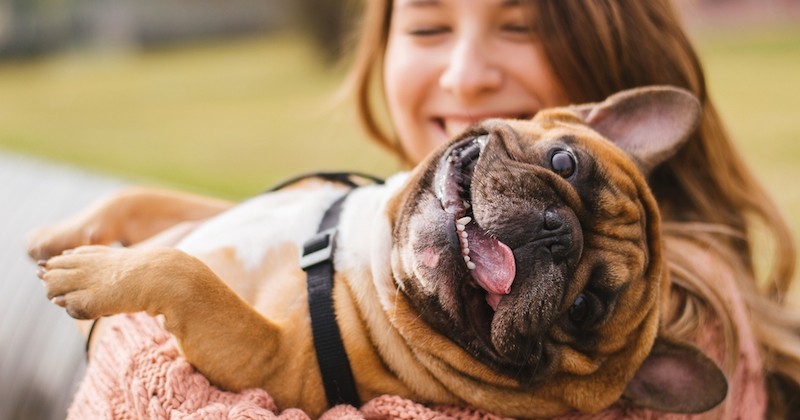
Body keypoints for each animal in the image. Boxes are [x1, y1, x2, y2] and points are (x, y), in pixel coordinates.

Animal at [29, 86, 732, 416]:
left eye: (585, 308)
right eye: (565, 162)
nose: (557, 231)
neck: (365, 251)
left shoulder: (269, 361)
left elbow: (187, 275)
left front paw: (93, 273)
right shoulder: (222, 211)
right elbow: (146, 200)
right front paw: (64, 234)